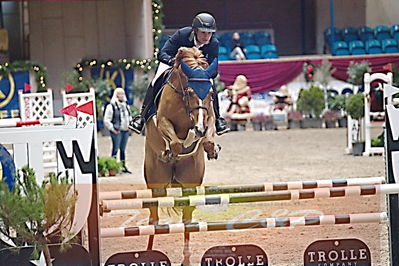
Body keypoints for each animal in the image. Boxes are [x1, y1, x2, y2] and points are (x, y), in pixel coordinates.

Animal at [143, 46, 220, 264]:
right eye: (191, 91)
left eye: (210, 93)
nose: (199, 128)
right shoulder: (162, 120)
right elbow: (176, 141)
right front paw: (171, 151)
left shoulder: (209, 117)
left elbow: (207, 134)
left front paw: (208, 145)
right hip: (156, 182)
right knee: (154, 218)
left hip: (189, 183)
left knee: (187, 220)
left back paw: (186, 259)